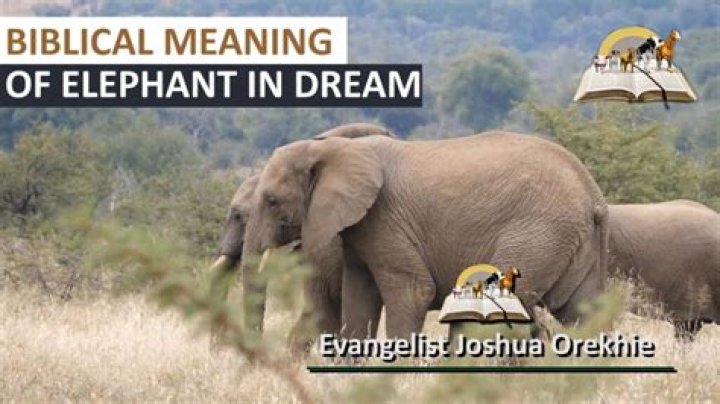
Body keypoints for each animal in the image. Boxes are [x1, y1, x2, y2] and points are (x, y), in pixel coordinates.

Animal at [240, 128, 610, 340]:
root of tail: (594, 194)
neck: (333, 149)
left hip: (539, 231)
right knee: (582, 311)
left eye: (272, 201)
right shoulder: (359, 229)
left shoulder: (384, 219)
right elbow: (360, 296)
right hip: (569, 239)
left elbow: (413, 292)